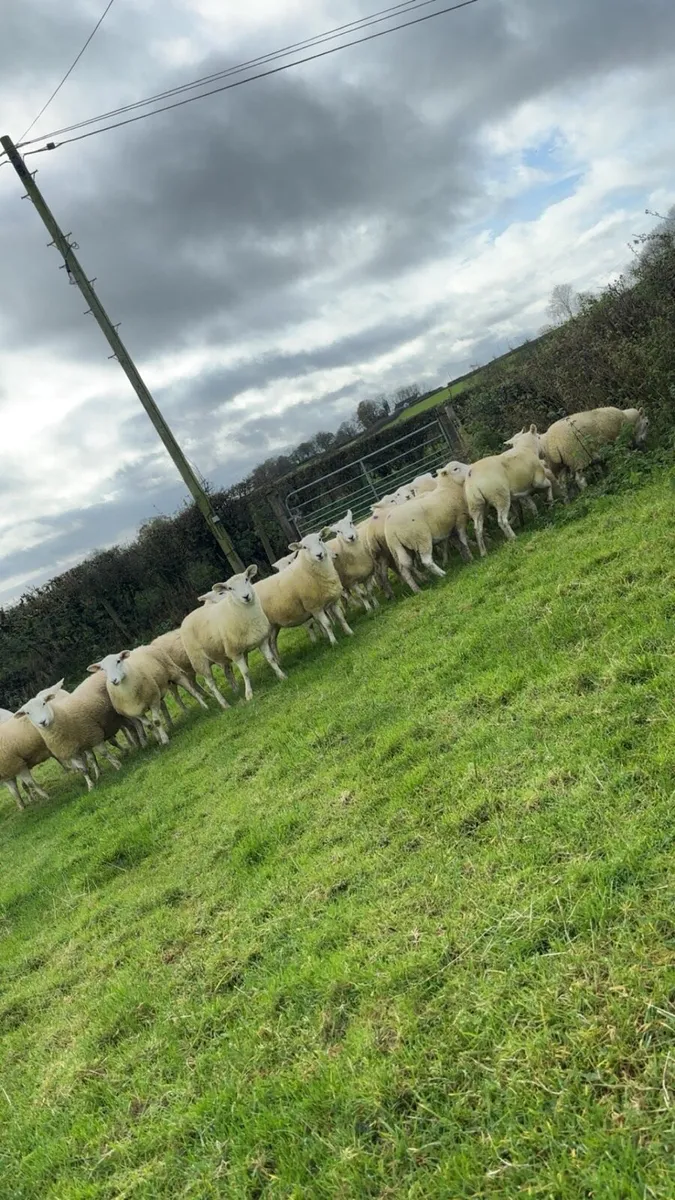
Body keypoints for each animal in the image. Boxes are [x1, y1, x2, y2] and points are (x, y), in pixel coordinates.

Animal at [181, 566, 287, 706]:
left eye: (247, 579)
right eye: (230, 588)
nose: (246, 596)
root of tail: (187, 618)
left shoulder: (261, 640)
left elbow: (271, 659)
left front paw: (281, 675)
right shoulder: (234, 651)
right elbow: (245, 672)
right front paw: (249, 694)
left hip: (218, 654)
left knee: (227, 672)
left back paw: (235, 691)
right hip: (199, 660)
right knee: (211, 684)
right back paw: (224, 704)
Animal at [383, 464, 472, 593]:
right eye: (455, 469)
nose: (470, 469)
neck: (449, 489)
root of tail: (391, 528)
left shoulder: (450, 527)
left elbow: (457, 543)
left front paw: (465, 557)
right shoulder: (460, 519)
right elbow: (463, 539)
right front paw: (471, 556)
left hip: (398, 548)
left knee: (404, 568)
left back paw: (416, 589)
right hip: (421, 537)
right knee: (426, 560)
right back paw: (442, 574)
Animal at [506, 407, 649, 493]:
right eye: (647, 423)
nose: (643, 440)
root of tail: (553, 441)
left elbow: (603, 466)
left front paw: (606, 475)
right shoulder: (621, 442)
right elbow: (627, 457)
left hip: (559, 466)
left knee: (563, 485)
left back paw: (568, 501)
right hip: (576, 457)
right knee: (579, 480)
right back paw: (586, 491)